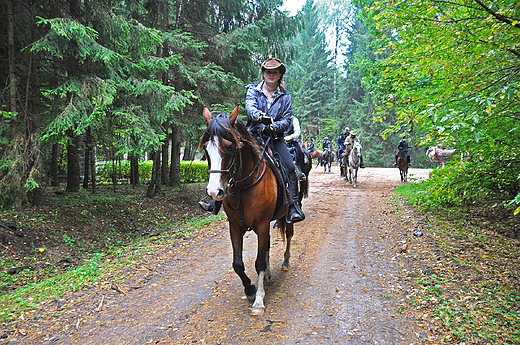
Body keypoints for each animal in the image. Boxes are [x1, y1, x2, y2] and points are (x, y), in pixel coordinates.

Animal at [199, 106, 294, 316]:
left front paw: (258, 300)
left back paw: (285, 262)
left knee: (289, 235)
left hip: (286, 216)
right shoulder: (235, 226)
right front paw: (250, 289)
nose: (214, 192)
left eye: (229, 146)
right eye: (206, 148)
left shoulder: (262, 224)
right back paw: (267, 276)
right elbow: (238, 264)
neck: (243, 186)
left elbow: (258, 262)